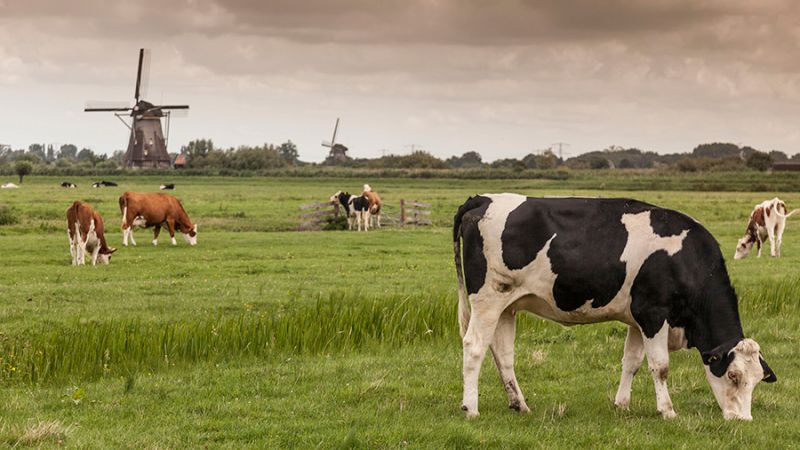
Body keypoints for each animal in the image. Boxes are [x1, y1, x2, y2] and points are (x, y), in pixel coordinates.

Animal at [453, 194, 776, 420]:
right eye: (733, 376)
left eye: (757, 380)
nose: (743, 419)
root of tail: (482, 199)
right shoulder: (653, 313)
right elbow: (660, 366)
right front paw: (667, 411)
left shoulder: (637, 319)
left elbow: (631, 362)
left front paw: (622, 404)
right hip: (487, 299)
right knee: (474, 346)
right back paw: (470, 408)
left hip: (506, 306)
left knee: (503, 354)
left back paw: (519, 405)